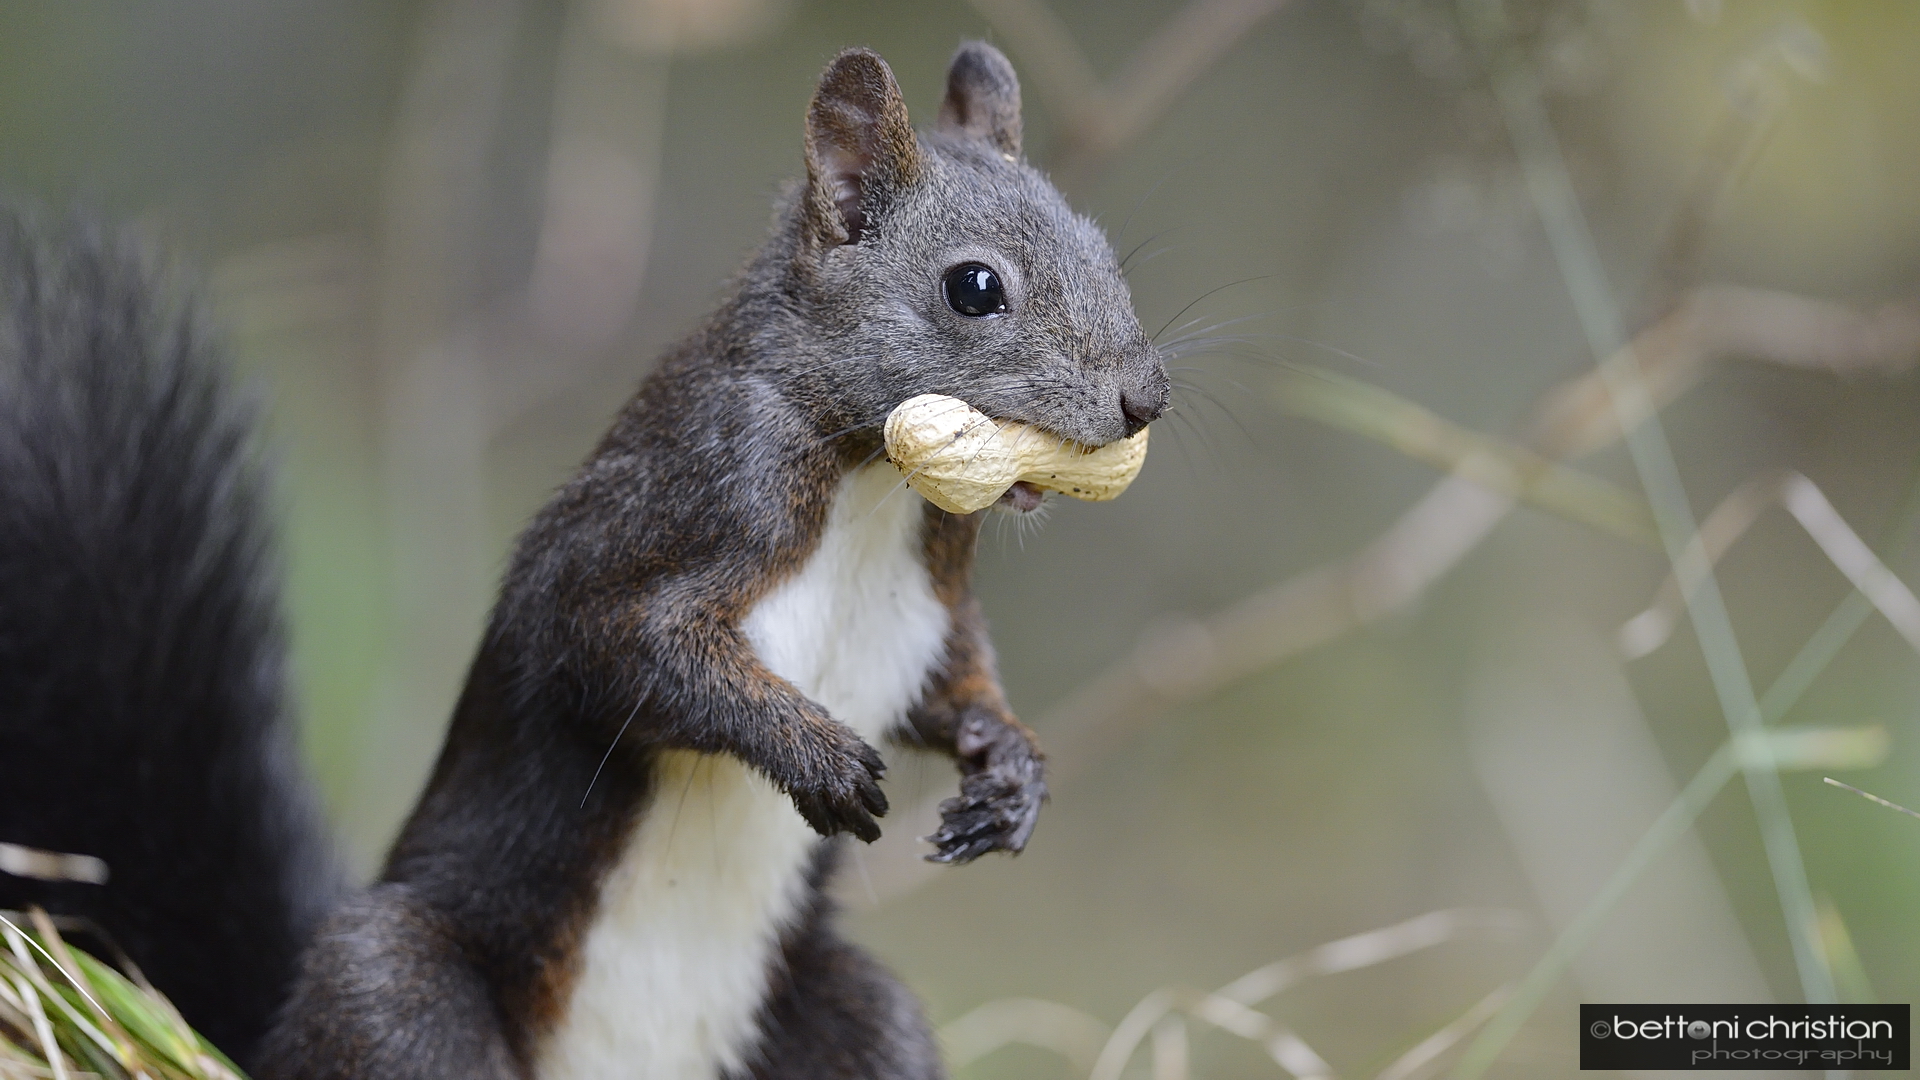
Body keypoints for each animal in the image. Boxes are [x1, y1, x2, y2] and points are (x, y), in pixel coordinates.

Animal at [0, 41, 1167, 1080]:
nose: (1145, 397)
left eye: (1106, 249)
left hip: (858, 1020)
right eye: (974, 287)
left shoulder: (930, 605)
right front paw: (811, 751)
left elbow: (956, 686)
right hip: (396, 995)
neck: (873, 489)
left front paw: (1011, 771)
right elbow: (619, 645)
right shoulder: (679, 505)